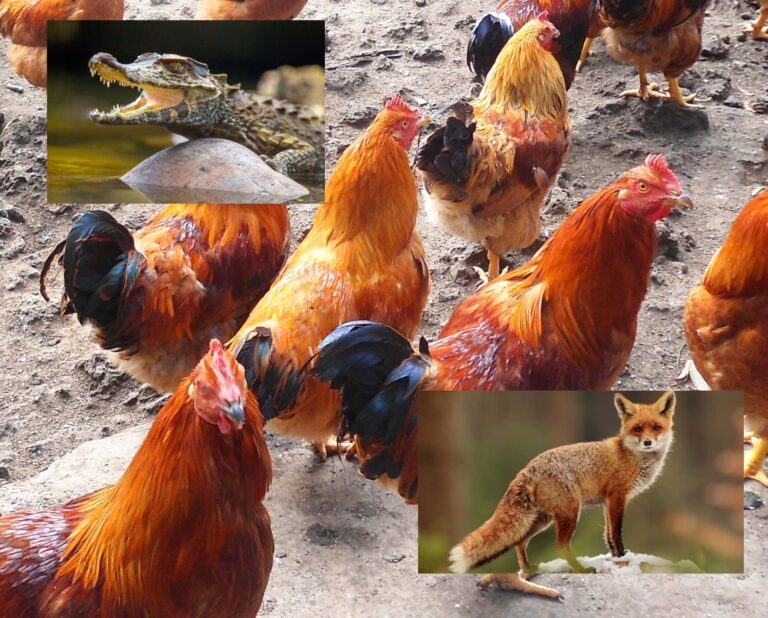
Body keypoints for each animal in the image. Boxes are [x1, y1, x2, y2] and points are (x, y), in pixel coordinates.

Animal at [449, 391, 675, 593]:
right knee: (560, 545)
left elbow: (608, 535)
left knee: (520, 541)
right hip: (569, 512)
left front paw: (615, 558)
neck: (633, 456)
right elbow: (616, 533)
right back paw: (580, 570)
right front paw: (621, 558)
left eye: (656, 427)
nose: (648, 442)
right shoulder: (617, 496)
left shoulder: (607, 501)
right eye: (637, 429)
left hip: (543, 519)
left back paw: (527, 569)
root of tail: (527, 468)